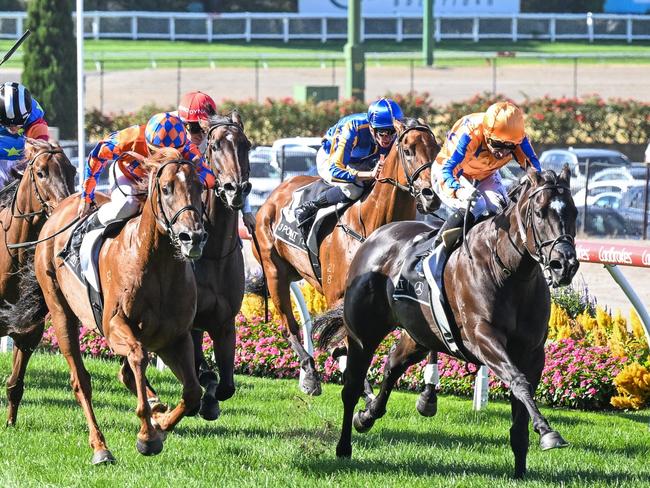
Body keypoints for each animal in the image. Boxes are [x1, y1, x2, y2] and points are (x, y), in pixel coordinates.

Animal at [24, 149, 205, 466]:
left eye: (200, 187)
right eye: (166, 188)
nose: (192, 237)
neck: (158, 264)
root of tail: (59, 210)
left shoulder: (176, 336)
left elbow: (194, 392)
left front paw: (161, 424)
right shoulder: (114, 326)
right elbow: (137, 357)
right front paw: (147, 436)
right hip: (61, 312)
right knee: (81, 381)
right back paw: (100, 447)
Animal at [253, 119, 440, 396]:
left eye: (437, 149)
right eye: (408, 151)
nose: (431, 195)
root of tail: (274, 196)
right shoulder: (338, 294)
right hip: (275, 271)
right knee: (290, 326)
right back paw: (310, 375)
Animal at [314, 166, 576, 478]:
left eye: (573, 211)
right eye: (539, 212)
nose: (565, 264)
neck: (510, 273)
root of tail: (375, 237)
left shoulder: (533, 353)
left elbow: (521, 405)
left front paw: (521, 468)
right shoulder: (482, 338)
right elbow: (518, 381)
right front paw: (549, 433)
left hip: (418, 334)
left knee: (393, 364)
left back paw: (367, 416)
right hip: (363, 335)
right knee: (352, 386)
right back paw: (344, 446)